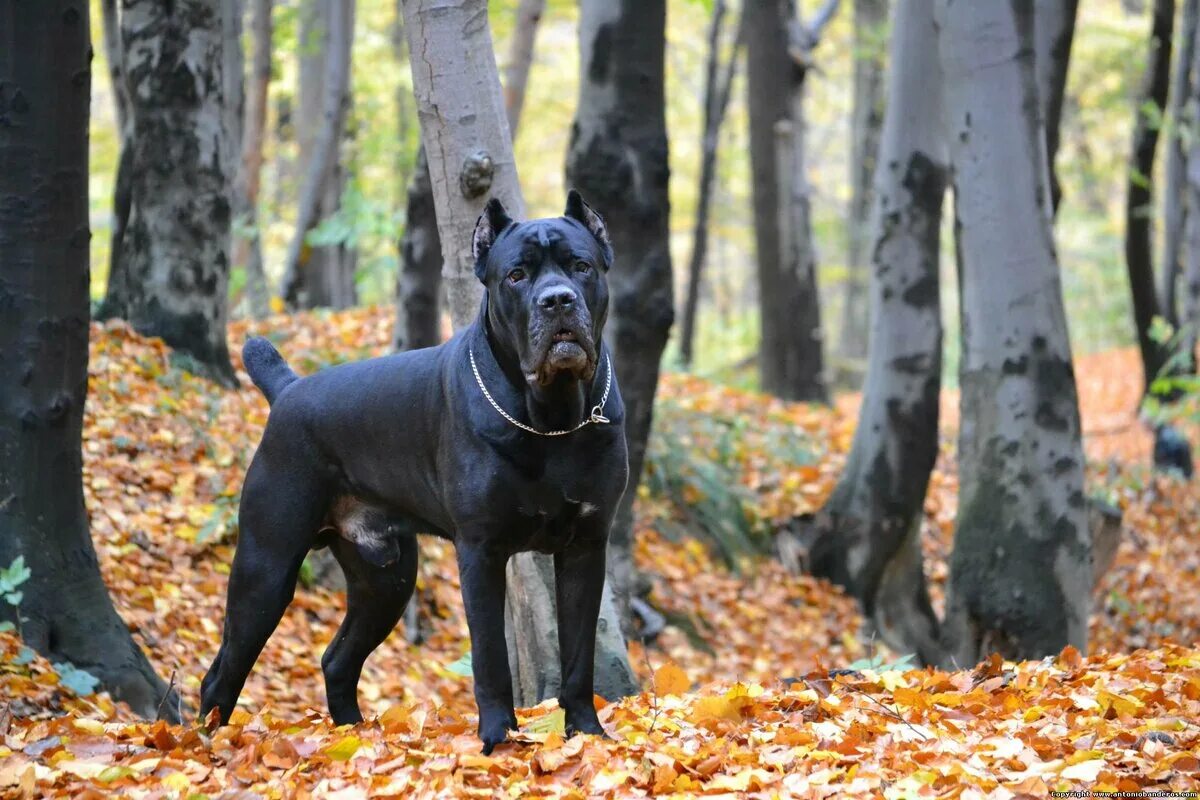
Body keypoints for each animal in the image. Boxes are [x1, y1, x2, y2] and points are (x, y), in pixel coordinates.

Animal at [199, 190, 628, 753]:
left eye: (580, 266)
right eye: (516, 275)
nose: (556, 300)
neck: (554, 416)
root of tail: (289, 389)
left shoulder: (585, 546)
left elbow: (579, 654)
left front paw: (587, 733)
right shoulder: (481, 551)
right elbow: (490, 656)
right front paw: (497, 740)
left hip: (387, 578)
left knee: (337, 659)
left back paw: (354, 738)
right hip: (266, 567)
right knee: (223, 670)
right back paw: (203, 745)